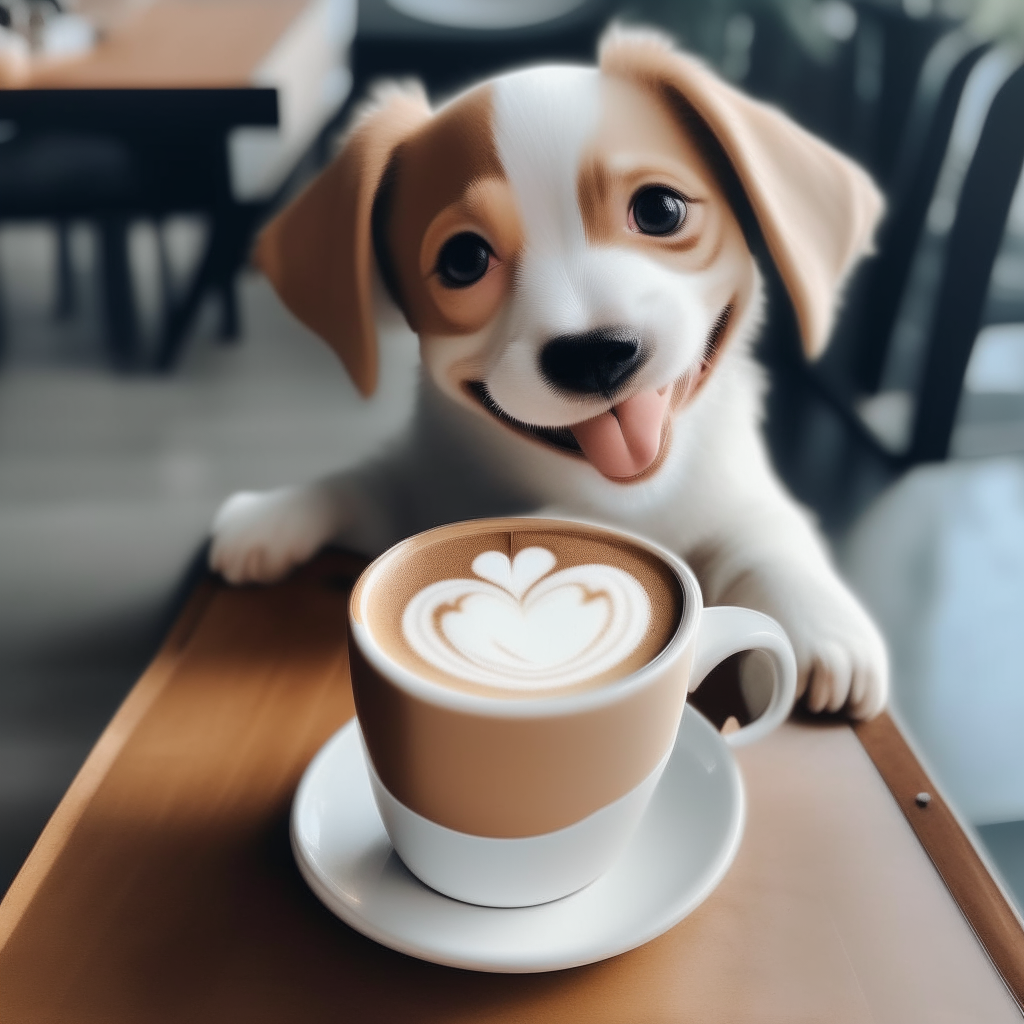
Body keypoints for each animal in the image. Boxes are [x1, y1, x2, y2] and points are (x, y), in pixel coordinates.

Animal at [214, 28, 888, 724]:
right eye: (463, 259)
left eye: (661, 209)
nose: (595, 353)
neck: (621, 498)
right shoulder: (423, 485)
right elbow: (363, 483)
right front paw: (273, 514)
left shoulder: (741, 495)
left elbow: (768, 540)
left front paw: (818, 624)